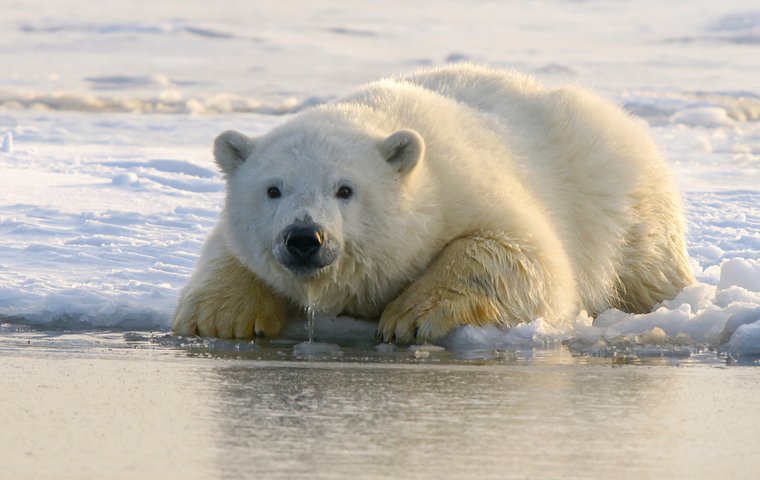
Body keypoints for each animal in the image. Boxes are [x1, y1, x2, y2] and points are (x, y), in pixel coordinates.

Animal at [172, 63, 696, 344]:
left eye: (345, 189)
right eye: (273, 189)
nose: (305, 238)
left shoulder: (467, 187)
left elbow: (524, 255)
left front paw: (409, 317)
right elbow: (227, 250)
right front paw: (221, 318)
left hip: (622, 199)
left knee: (648, 265)